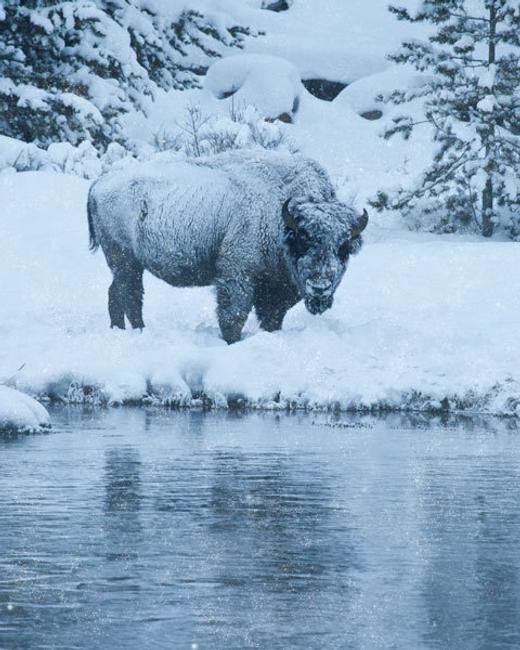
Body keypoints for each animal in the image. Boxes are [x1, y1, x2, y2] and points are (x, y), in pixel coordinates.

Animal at [87, 149, 368, 342]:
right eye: (303, 239)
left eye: (343, 247)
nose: (320, 287)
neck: (281, 213)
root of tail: (101, 182)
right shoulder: (238, 277)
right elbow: (233, 316)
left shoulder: (274, 289)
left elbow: (272, 318)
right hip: (125, 260)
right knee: (131, 296)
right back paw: (140, 331)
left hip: (125, 264)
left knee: (116, 294)